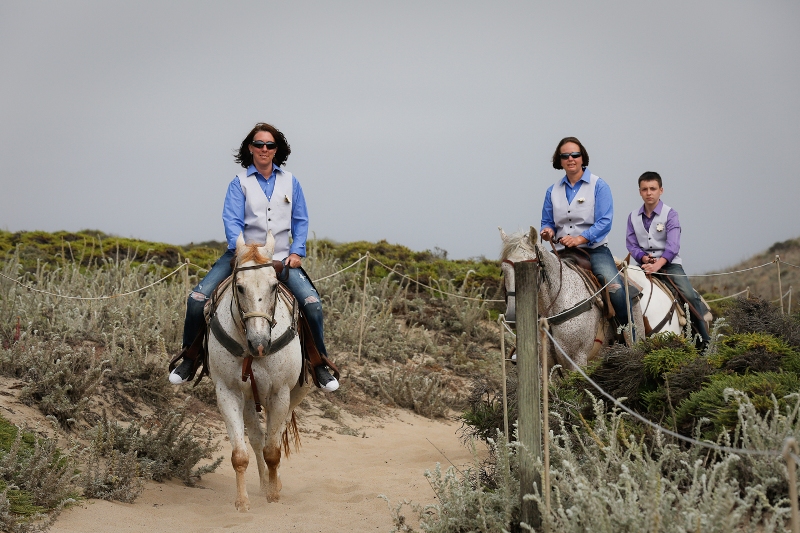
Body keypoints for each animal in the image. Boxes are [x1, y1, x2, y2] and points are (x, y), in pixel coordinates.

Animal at [209, 232, 310, 508]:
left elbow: (273, 451)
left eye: (274, 285)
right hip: (248, 400)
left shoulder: (280, 394)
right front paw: (242, 502)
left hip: (295, 394)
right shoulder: (228, 392)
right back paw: (264, 482)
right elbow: (240, 454)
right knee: (256, 438)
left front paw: (273, 495)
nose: (260, 343)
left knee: (278, 431)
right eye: (240, 287)